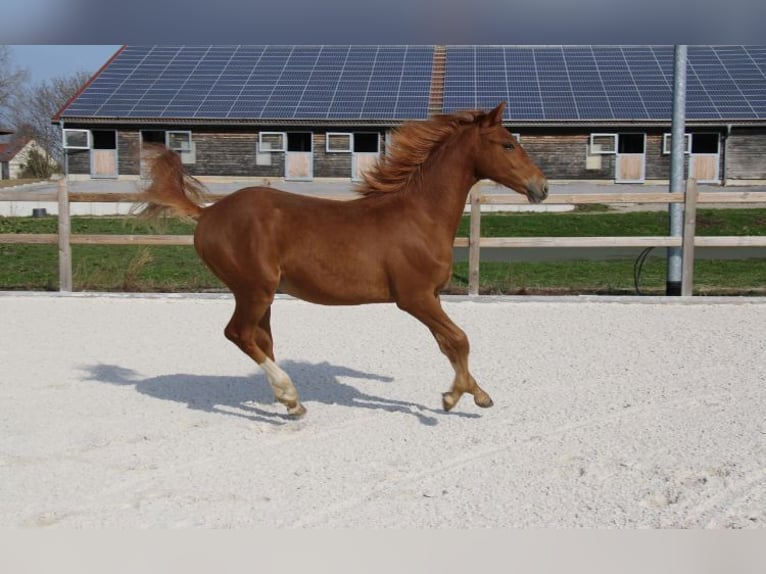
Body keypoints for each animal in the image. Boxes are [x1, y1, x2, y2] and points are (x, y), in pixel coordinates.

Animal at [138, 102, 544, 418]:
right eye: (508, 144)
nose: (541, 187)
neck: (419, 216)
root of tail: (207, 213)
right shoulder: (414, 298)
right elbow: (460, 339)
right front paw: (457, 398)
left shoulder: (431, 296)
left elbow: (449, 343)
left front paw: (472, 393)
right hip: (253, 289)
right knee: (238, 333)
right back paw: (289, 395)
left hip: (261, 294)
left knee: (260, 338)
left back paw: (289, 402)